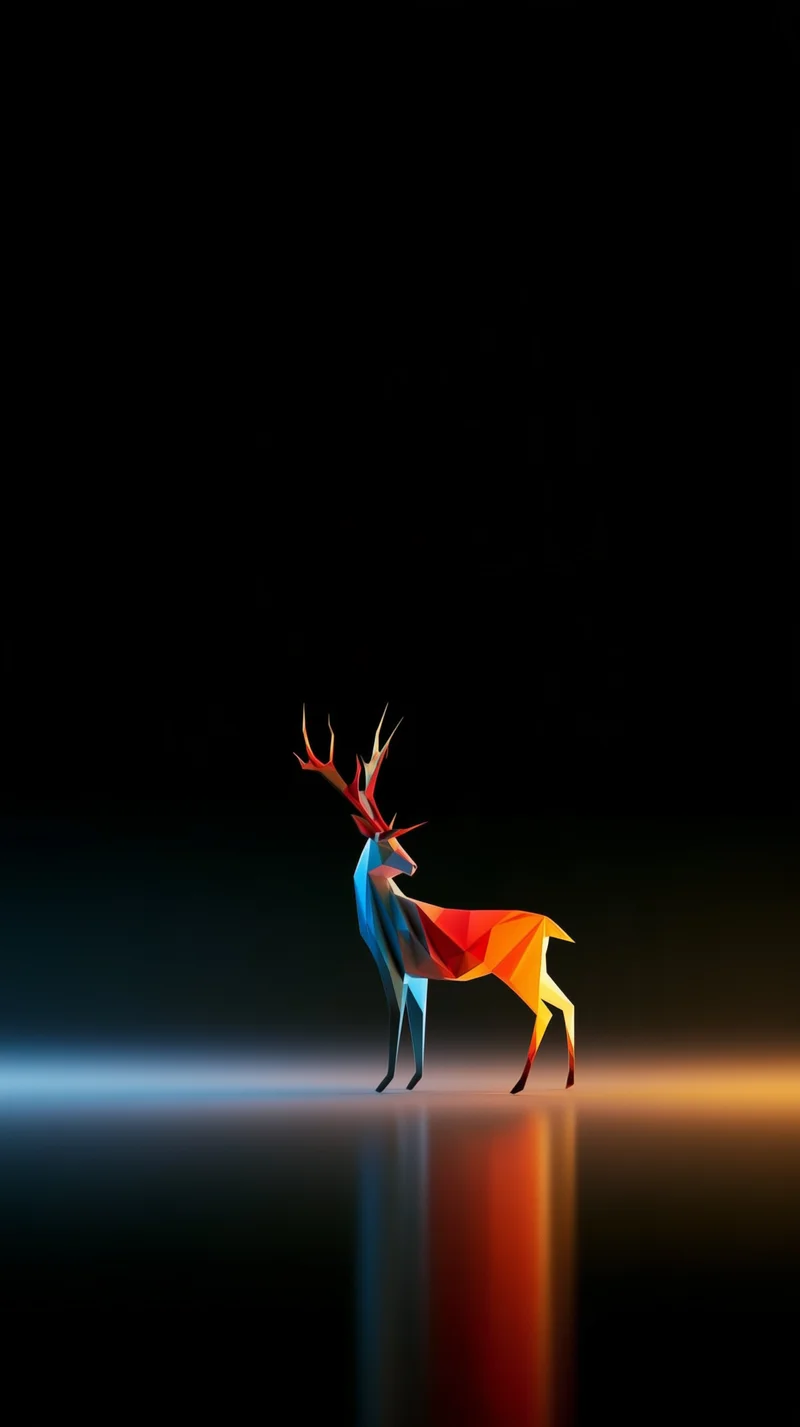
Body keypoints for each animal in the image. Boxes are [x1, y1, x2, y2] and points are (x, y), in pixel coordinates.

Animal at [295, 706, 576, 1093]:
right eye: (386, 841)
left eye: (396, 837)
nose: (413, 866)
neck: (384, 912)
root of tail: (549, 925)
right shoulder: (418, 975)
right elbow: (418, 1020)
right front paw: (413, 1080)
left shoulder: (393, 966)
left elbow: (396, 1016)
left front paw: (384, 1082)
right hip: (537, 968)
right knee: (566, 1003)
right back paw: (569, 1080)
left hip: (518, 970)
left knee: (545, 1010)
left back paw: (519, 1084)